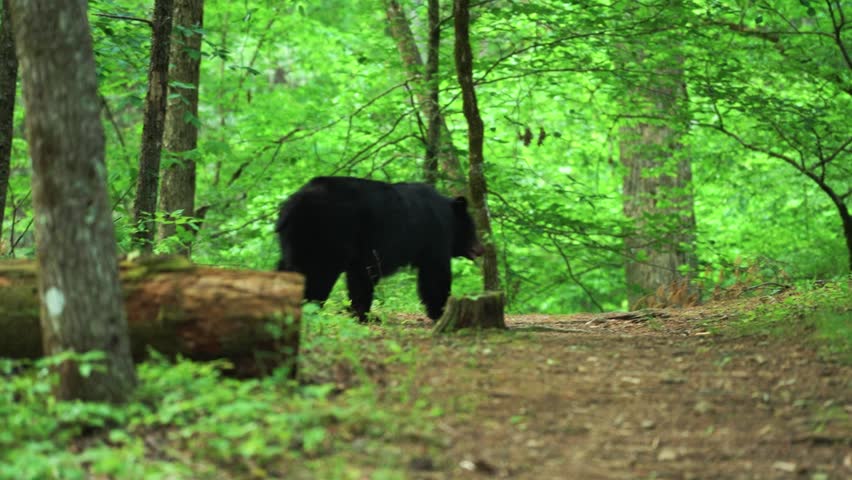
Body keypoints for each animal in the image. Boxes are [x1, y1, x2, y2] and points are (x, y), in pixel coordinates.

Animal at [275, 176, 484, 321]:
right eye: (472, 228)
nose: (480, 249)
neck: (445, 215)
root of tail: (292, 205)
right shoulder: (433, 237)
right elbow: (434, 274)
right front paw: (439, 311)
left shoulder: (364, 254)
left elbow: (360, 278)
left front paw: (361, 314)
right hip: (326, 236)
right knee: (317, 273)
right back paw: (310, 307)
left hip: (295, 241)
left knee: (286, 269)